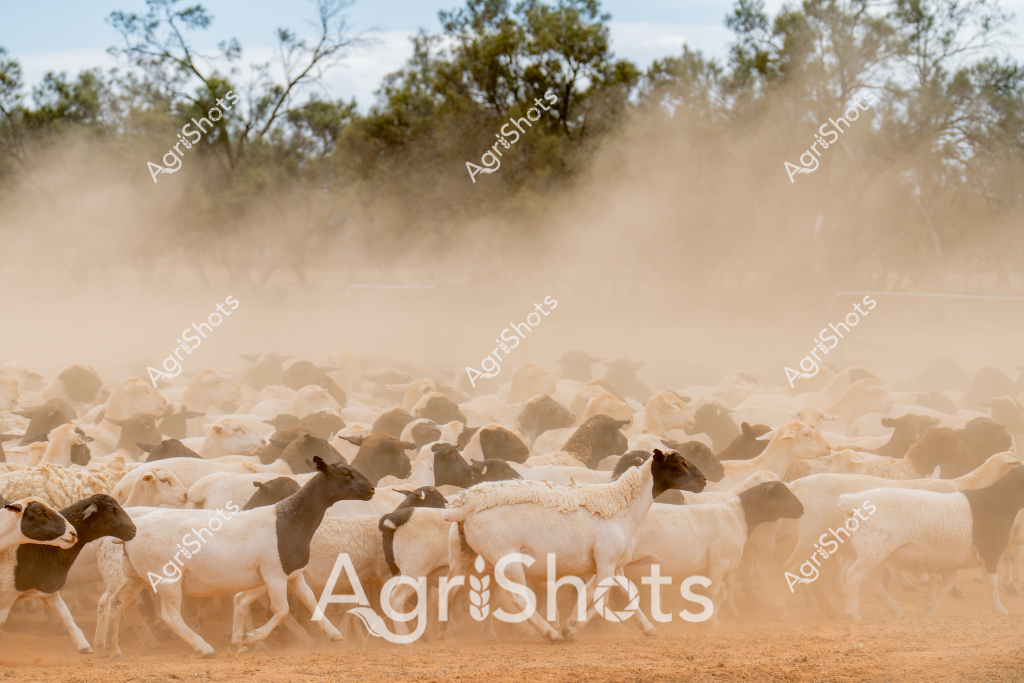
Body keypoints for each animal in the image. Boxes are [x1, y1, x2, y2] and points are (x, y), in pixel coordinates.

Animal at [97, 456, 374, 659]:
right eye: (345, 473)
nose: (371, 488)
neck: (289, 519)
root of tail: (132, 532)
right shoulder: (273, 573)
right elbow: (281, 609)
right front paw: (251, 638)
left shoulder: (291, 574)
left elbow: (309, 601)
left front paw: (333, 634)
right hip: (168, 580)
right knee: (170, 616)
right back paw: (203, 647)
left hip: (135, 576)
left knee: (117, 603)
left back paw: (112, 649)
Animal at [440, 449, 706, 641]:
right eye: (680, 462)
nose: (704, 480)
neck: (623, 506)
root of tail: (464, 508)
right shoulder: (606, 561)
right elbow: (601, 599)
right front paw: (571, 628)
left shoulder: (614, 564)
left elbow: (625, 595)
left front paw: (648, 628)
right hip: (506, 558)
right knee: (518, 599)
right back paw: (550, 633)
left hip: (462, 557)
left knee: (449, 590)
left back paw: (446, 633)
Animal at [624, 481, 804, 626]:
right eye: (784, 493)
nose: (802, 508)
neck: (738, 515)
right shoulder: (720, 563)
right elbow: (713, 591)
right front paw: (710, 621)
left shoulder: (721, 565)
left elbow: (723, 590)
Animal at [840, 466, 1024, 620]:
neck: (998, 501)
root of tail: (854, 501)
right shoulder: (990, 552)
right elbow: (992, 583)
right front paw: (999, 609)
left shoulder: (953, 560)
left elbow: (946, 586)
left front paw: (931, 610)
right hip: (872, 550)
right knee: (854, 576)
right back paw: (854, 614)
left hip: (878, 552)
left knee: (873, 580)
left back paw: (896, 611)